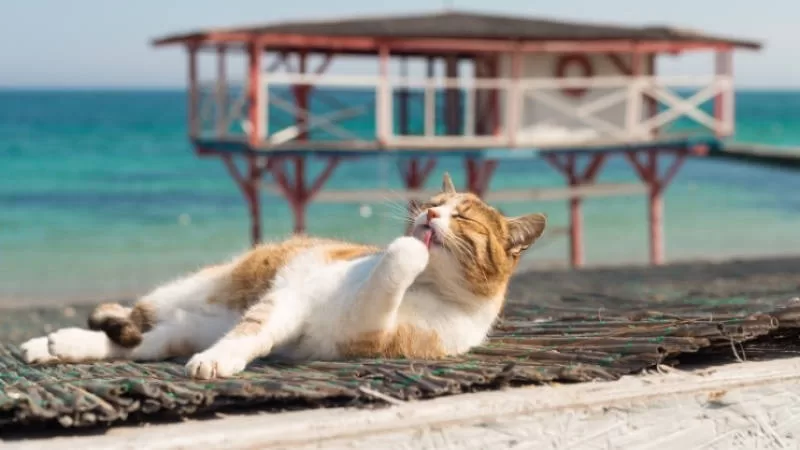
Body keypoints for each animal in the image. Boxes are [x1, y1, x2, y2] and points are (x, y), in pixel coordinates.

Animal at [20, 173, 544, 380]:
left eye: (465, 217)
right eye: (433, 201)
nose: (428, 215)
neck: (428, 287)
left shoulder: (364, 330)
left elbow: (392, 269)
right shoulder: (293, 298)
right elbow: (253, 331)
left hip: (177, 333)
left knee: (135, 344)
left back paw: (58, 347)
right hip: (185, 292)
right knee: (132, 319)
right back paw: (49, 343)